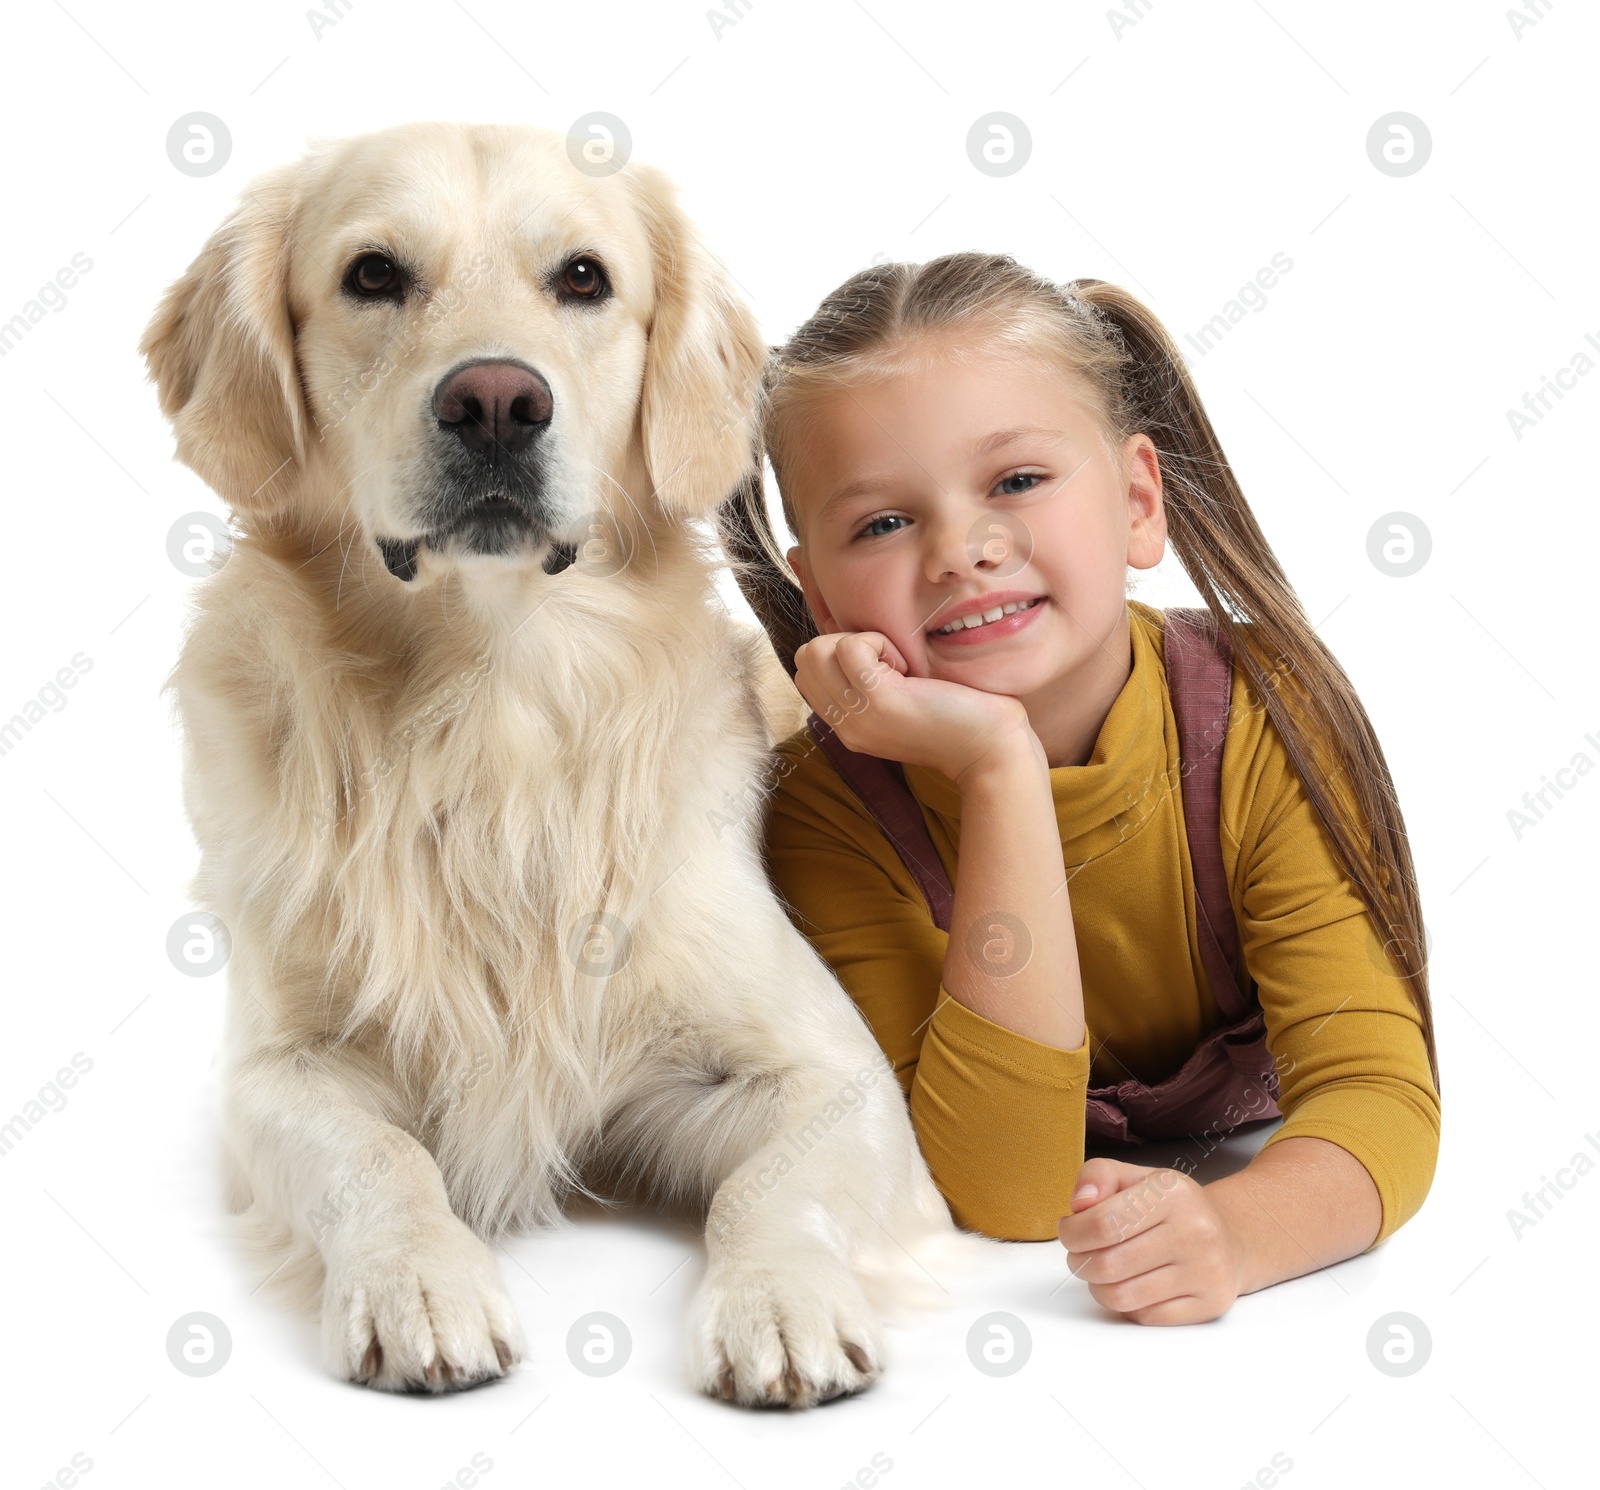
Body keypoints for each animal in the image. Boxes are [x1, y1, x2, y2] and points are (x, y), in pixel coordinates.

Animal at [137, 119, 960, 1408]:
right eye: (373, 274)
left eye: (582, 278)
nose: (493, 401)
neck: (493, 703)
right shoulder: (278, 1064)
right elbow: (376, 1153)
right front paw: (421, 1282)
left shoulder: (832, 1073)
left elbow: (769, 1185)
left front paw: (782, 1302)